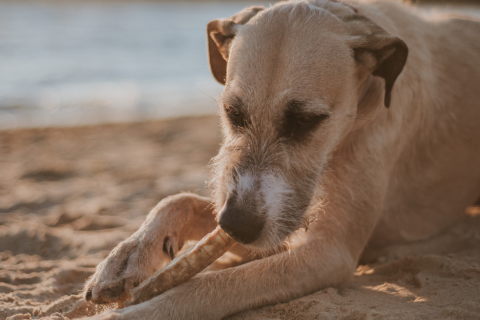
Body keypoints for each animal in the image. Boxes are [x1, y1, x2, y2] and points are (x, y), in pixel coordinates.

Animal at [82, 1, 480, 318]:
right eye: (232, 113)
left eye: (306, 121)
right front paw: (127, 257)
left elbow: (211, 285)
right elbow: (178, 199)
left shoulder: (327, 251)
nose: (236, 225)